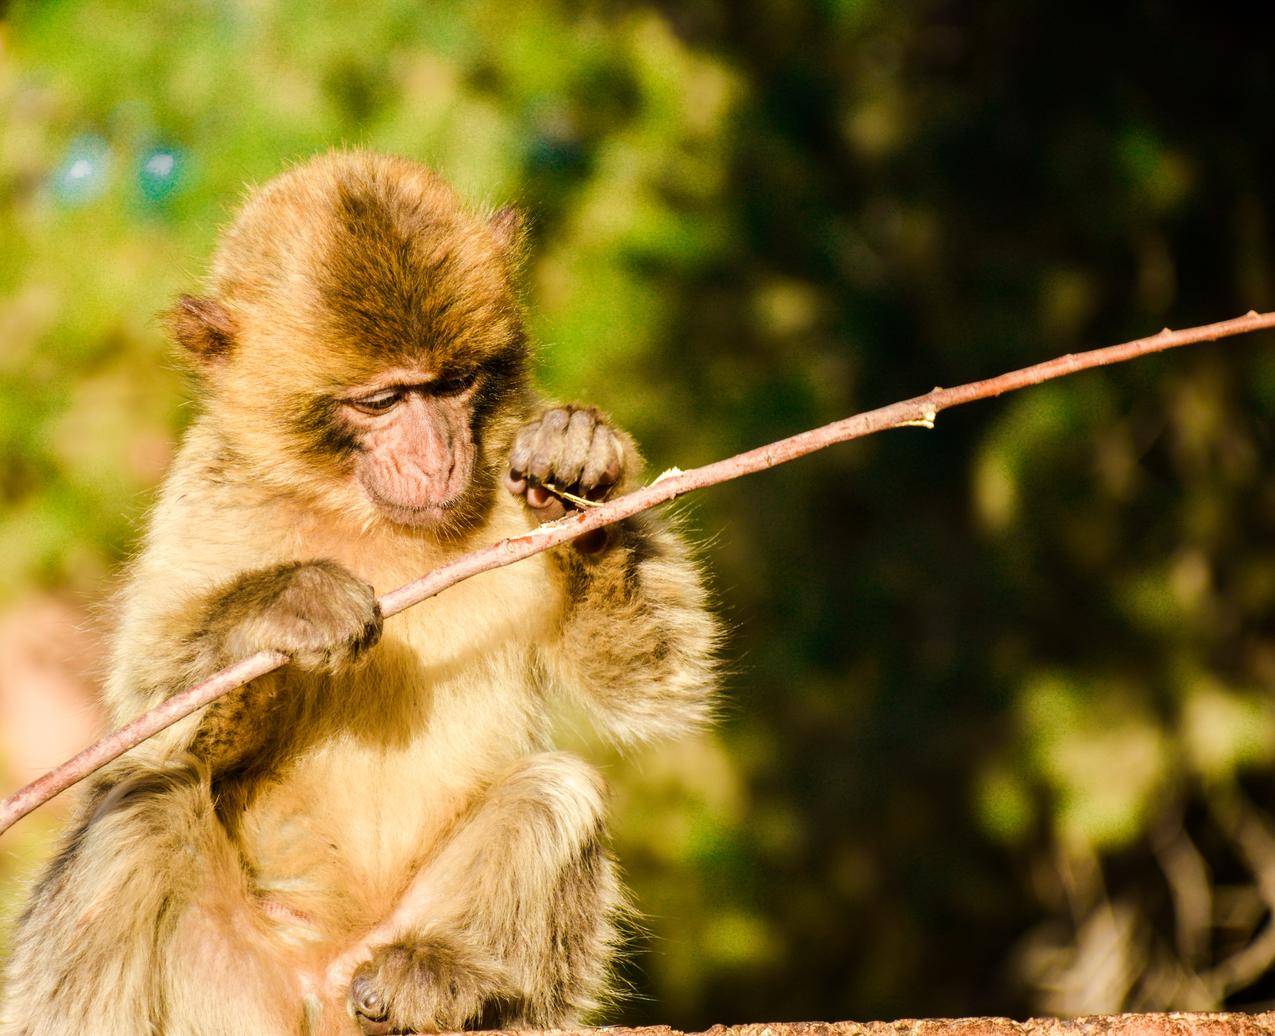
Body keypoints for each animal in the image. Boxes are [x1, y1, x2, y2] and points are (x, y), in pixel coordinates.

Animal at [0, 147, 719, 1034]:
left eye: (452, 384)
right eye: (379, 401)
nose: (437, 456)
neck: (364, 513)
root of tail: (323, 979)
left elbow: (653, 681)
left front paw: (576, 477)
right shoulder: (208, 493)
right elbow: (146, 727)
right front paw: (279, 608)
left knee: (558, 790)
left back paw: (437, 978)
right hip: (232, 997)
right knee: (139, 804)